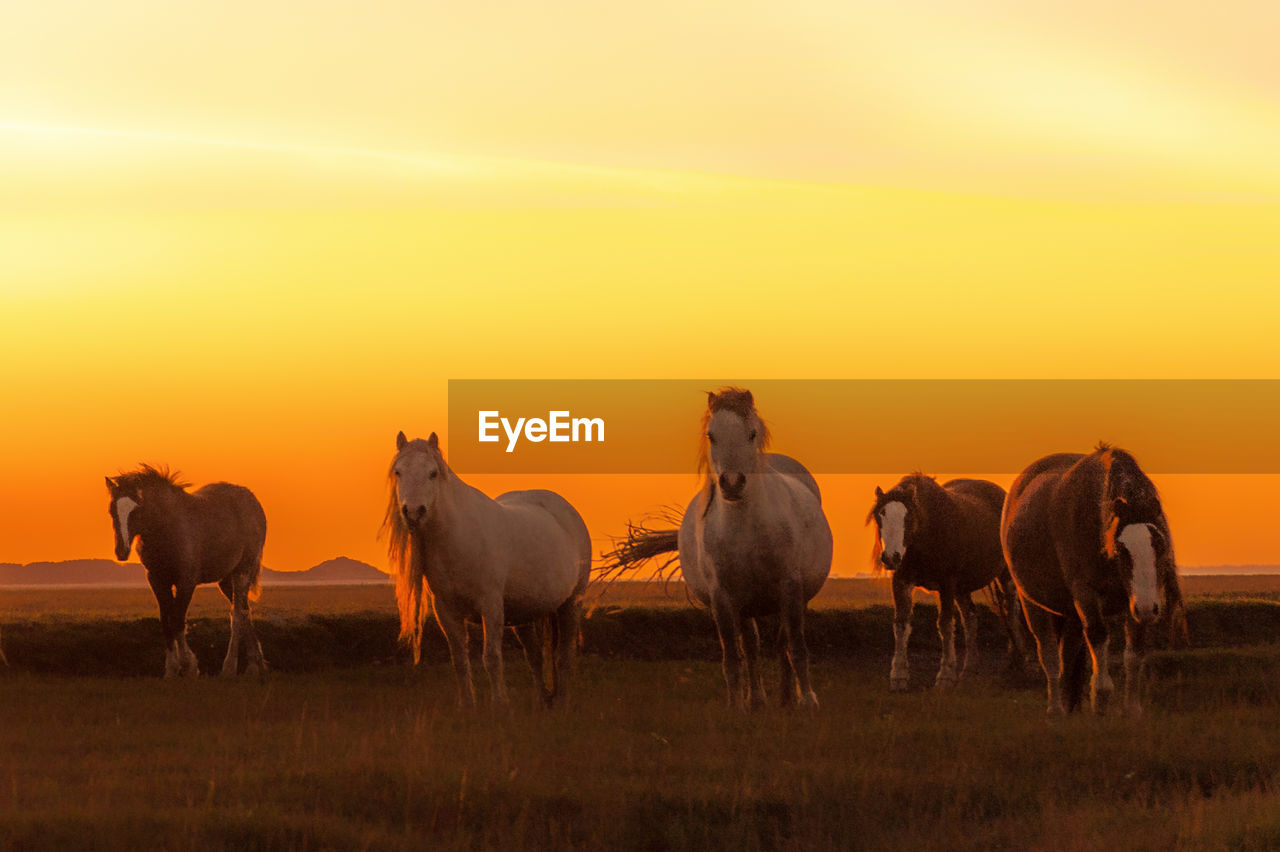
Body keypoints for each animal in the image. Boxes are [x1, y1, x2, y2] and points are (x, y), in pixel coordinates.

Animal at [108, 465, 270, 675]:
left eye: (136, 511)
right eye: (112, 511)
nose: (121, 551)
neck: (167, 530)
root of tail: (254, 502)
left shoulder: (186, 582)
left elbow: (177, 619)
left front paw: (188, 665)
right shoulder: (157, 580)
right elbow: (166, 620)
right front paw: (171, 669)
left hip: (242, 572)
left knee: (236, 616)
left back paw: (229, 667)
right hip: (226, 580)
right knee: (244, 611)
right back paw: (255, 664)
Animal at [381, 432, 591, 701]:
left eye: (433, 473)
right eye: (398, 472)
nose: (414, 512)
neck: (458, 538)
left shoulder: (490, 608)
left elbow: (491, 658)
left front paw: (500, 705)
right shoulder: (446, 612)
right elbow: (460, 661)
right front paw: (468, 706)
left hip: (571, 605)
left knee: (562, 658)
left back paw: (562, 703)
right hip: (526, 613)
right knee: (535, 658)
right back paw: (542, 703)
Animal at [865, 473, 1024, 685]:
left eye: (909, 517)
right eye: (880, 515)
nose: (891, 557)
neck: (928, 534)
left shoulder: (947, 584)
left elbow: (946, 624)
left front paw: (945, 675)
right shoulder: (901, 582)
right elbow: (901, 624)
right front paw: (898, 675)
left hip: (1005, 578)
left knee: (1011, 612)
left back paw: (1017, 660)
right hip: (962, 588)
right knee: (970, 618)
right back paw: (968, 669)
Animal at [1003, 445, 1182, 716]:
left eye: (1160, 546)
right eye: (1121, 550)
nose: (1148, 608)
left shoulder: (1136, 602)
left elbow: (1134, 652)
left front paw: (1132, 709)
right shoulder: (1087, 595)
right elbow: (1098, 636)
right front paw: (1101, 696)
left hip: (1072, 614)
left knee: (1067, 655)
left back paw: (1069, 706)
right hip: (1032, 604)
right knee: (1049, 655)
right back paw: (1055, 709)